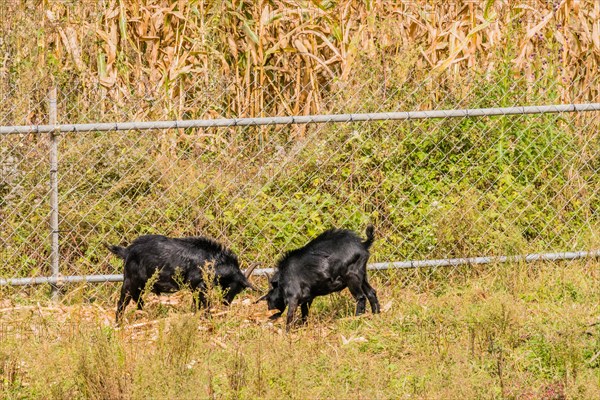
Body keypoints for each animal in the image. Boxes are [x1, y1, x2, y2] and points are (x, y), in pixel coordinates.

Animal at [106, 234, 255, 322]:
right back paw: (120, 323)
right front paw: (209, 318)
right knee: (124, 302)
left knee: (135, 300)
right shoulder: (199, 285)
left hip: (138, 283)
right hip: (131, 281)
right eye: (239, 287)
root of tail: (127, 251)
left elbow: (196, 304)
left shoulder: (195, 287)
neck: (213, 260)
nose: (226, 302)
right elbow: (206, 303)